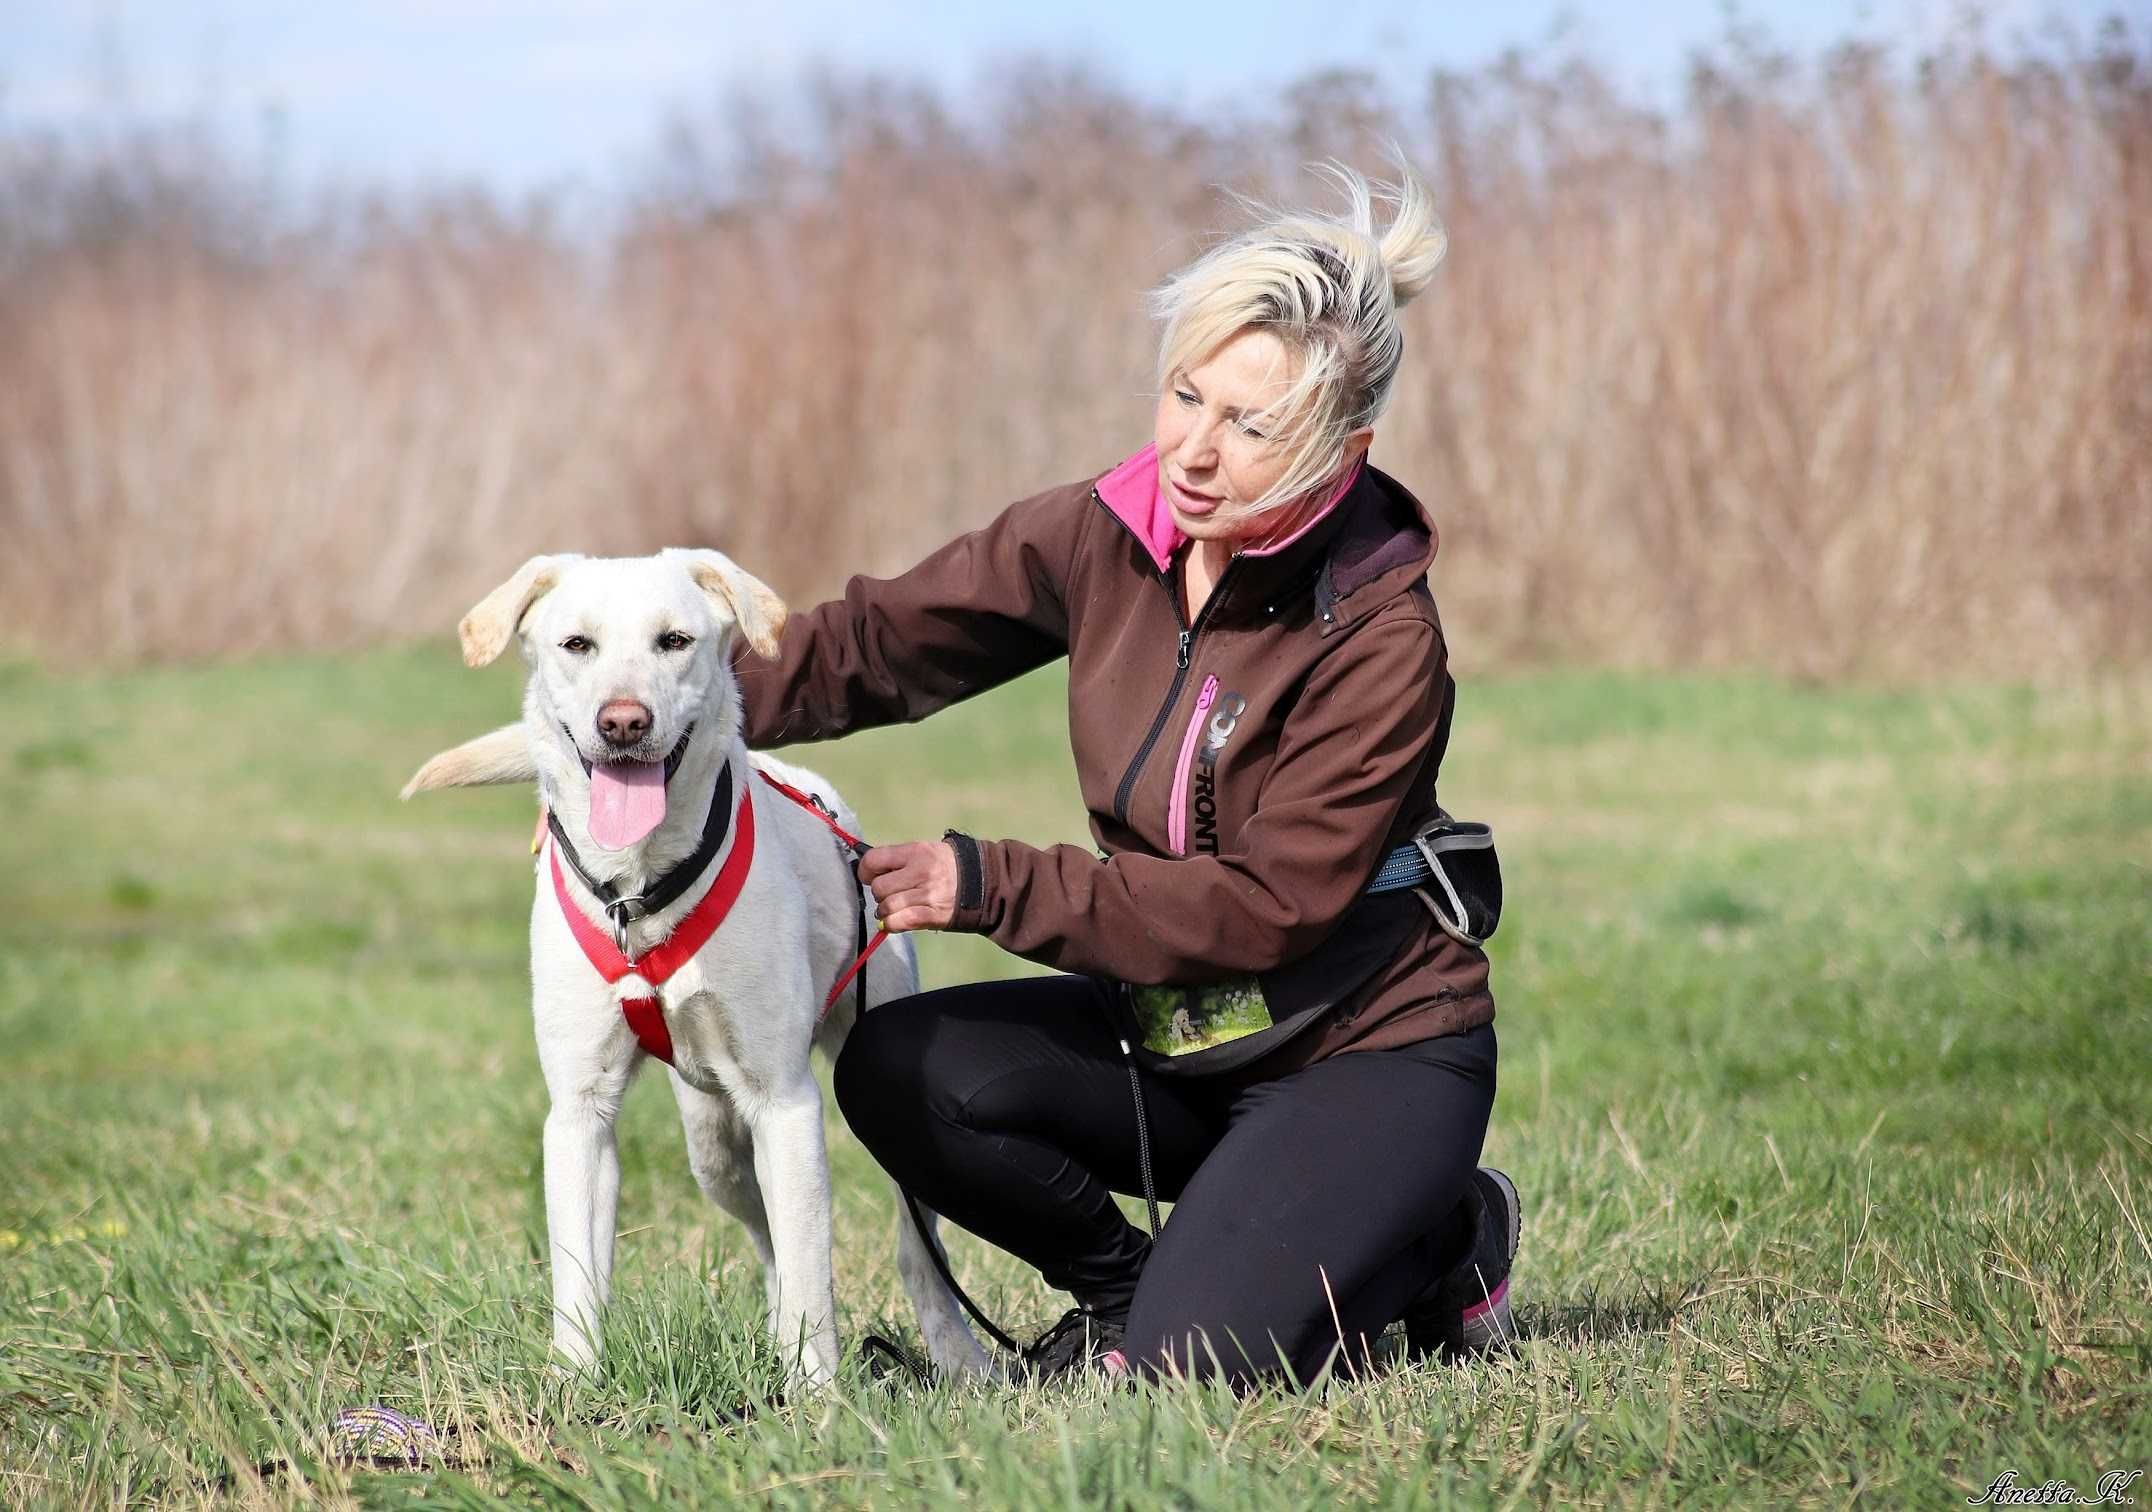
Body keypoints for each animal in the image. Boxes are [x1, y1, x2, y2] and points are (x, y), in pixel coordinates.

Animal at [404, 550, 989, 1393]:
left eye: (674, 640)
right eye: (576, 644)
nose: (622, 722)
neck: (639, 891)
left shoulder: (785, 1103)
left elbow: (813, 1268)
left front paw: (819, 1400)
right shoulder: (579, 1111)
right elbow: (579, 1275)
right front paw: (573, 1389)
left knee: (916, 1249)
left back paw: (958, 1353)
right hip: (711, 1144)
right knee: (764, 1234)